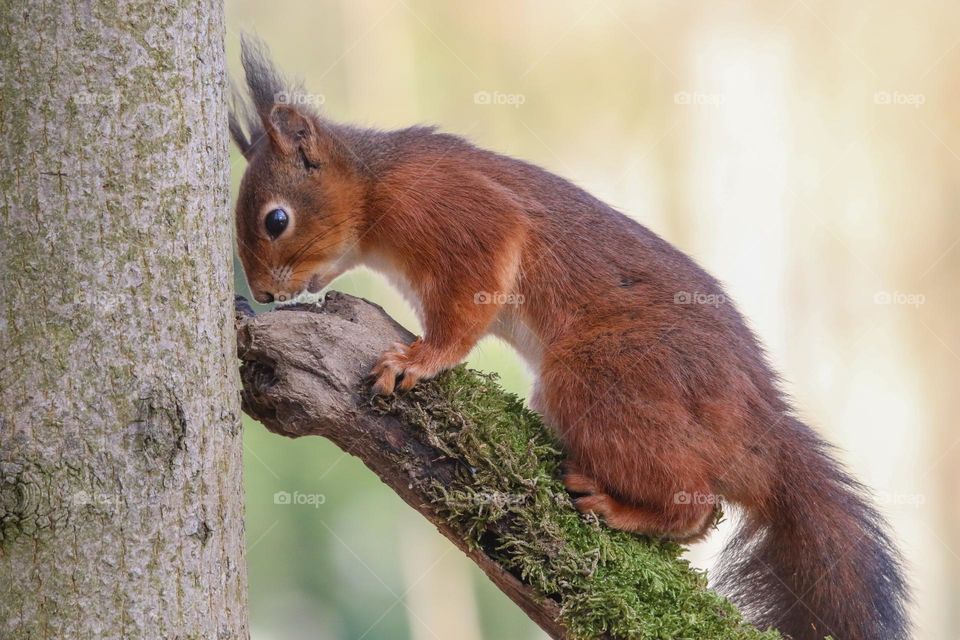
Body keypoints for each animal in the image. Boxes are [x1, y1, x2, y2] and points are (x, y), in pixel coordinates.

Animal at [231, 37, 908, 636]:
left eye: (276, 220)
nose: (262, 294)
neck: (375, 185)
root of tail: (755, 427)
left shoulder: (458, 214)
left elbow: (469, 302)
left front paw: (419, 359)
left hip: (601, 377)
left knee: (695, 502)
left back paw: (616, 505)